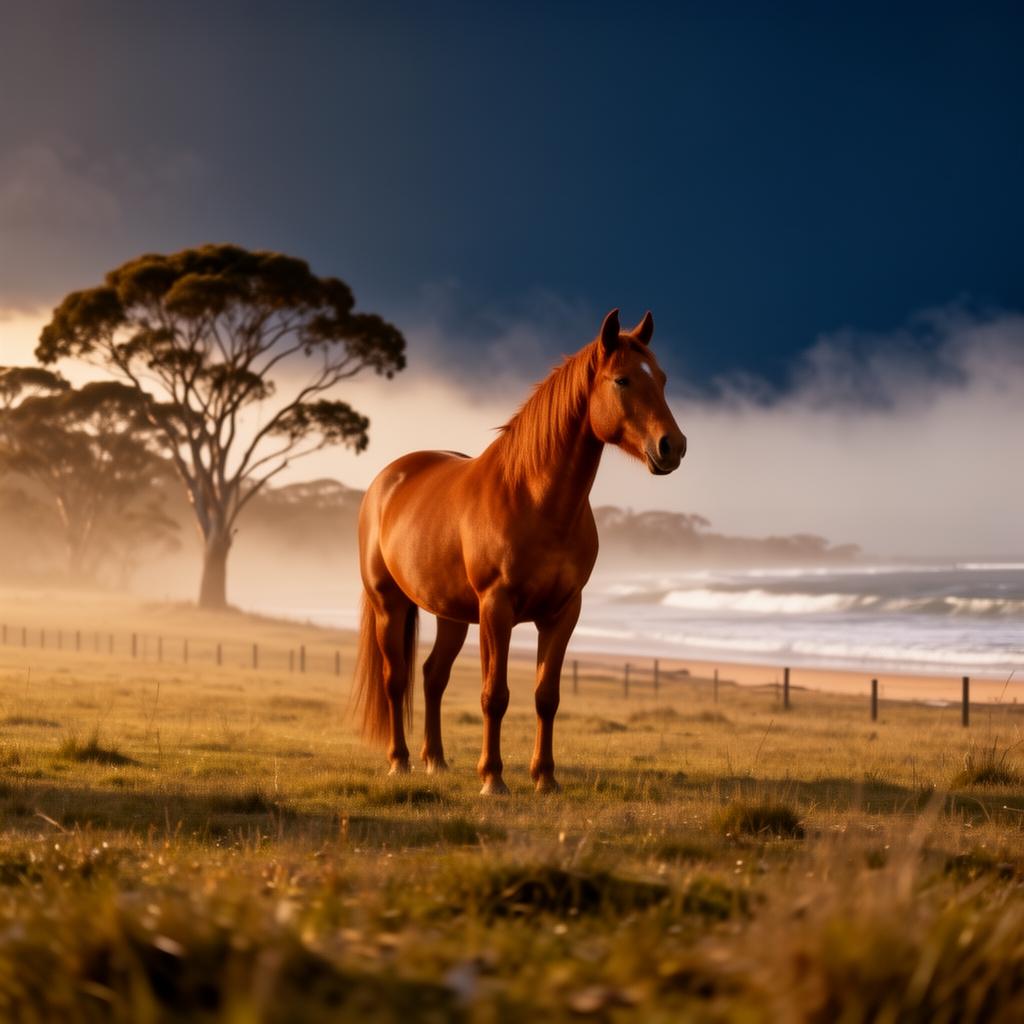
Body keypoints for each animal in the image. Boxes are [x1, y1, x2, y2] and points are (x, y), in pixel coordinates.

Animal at [353, 308, 686, 794]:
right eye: (622, 380)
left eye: (661, 379)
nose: (672, 446)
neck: (534, 500)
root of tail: (388, 478)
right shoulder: (497, 608)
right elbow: (495, 695)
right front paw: (493, 778)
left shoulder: (564, 612)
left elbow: (546, 696)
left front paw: (544, 777)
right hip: (388, 604)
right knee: (395, 679)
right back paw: (400, 761)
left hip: (451, 614)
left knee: (433, 676)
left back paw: (436, 759)